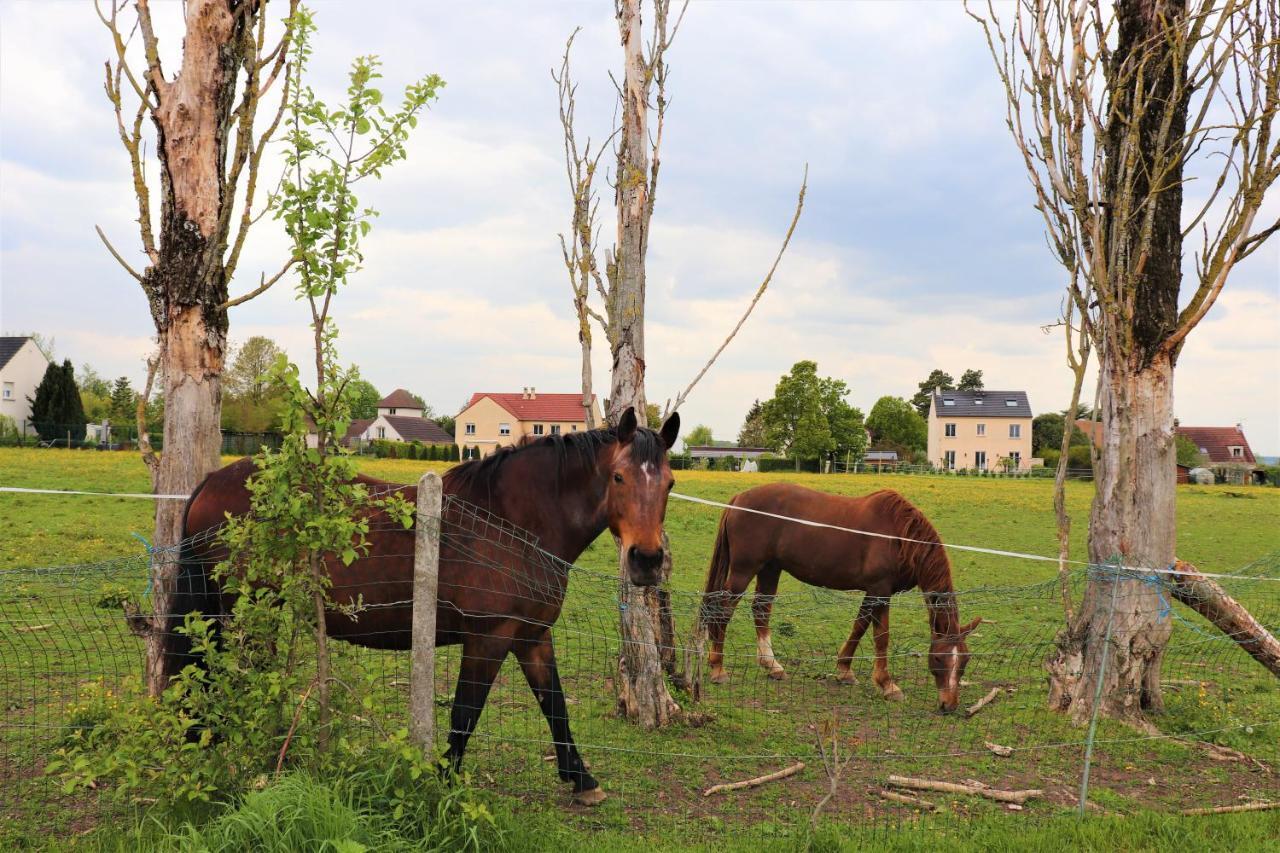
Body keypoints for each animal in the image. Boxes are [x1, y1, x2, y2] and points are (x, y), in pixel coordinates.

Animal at [161, 407, 680, 804]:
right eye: (618, 476)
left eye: (670, 484)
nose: (647, 560)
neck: (512, 524)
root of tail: (213, 480)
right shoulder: (488, 636)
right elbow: (465, 715)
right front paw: (443, 785)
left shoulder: (533, 636)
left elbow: (554, 704)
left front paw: (581, 779)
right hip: (240, 610)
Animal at [701, 481, 977, 706]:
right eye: (939, 659)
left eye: (964, 661)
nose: (949, 705)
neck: (899, 536)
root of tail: (739, 499)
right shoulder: (880, 591)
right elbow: (880, 636)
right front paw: (887, 685)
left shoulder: (873, 592)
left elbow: (859, 627)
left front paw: (844, 670)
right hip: (743, 570)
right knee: (722, 611)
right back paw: (718, 668)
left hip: (770, 569)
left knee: (761, 610)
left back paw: (772, 666)